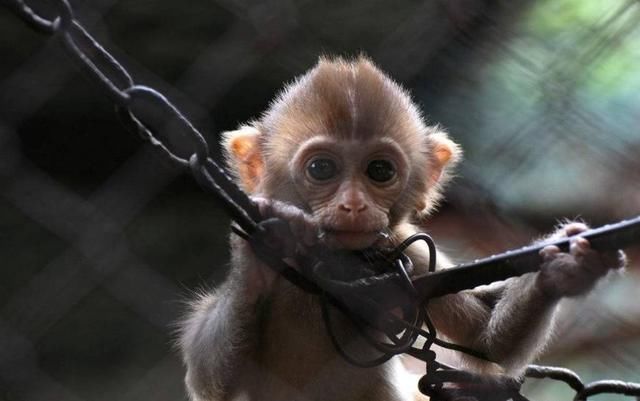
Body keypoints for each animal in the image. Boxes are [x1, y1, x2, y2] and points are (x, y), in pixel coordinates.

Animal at [180, 57, 624, 400]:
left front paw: (565, 269)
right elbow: (205, 375)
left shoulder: (408, 254)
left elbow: (486, 343)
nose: (354, 205)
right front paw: (262, 252)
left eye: (380, 171)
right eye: (321, 168)